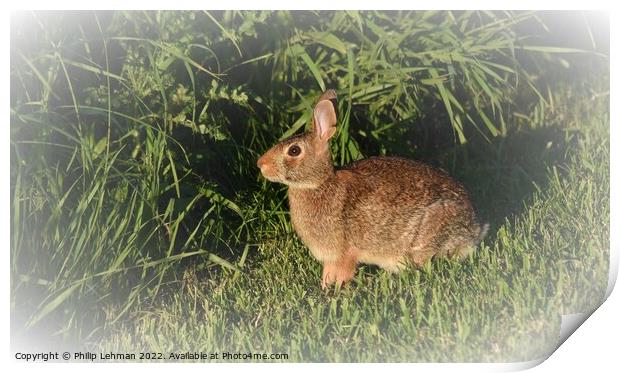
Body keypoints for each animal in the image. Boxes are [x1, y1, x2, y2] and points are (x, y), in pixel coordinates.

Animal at [256, 89, 490, 288]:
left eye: (294, 151)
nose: (261, 165)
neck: (320, 183)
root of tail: (474, 229)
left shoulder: (346, 253)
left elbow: (344, 272)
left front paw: (336, 291)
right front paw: (325, 287)